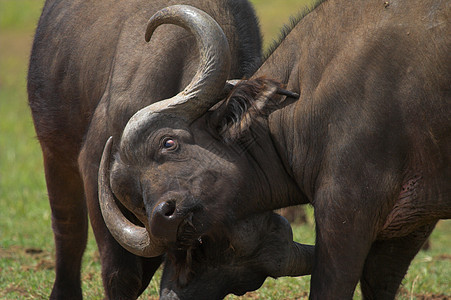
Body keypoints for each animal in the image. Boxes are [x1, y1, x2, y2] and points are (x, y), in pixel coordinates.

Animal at [27, 0, 262, 298]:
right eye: (169, 143)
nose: (171, 212)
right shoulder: (95, 168)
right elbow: (121, 272)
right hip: (54, 153)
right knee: (69, 230)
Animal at [97, 0, 450, 298]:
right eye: (135, 196)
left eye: (169, 143)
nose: (162, 218)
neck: (304, 99)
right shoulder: (408, 226)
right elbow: (379, 281)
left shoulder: (347, 210)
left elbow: (330, 287)